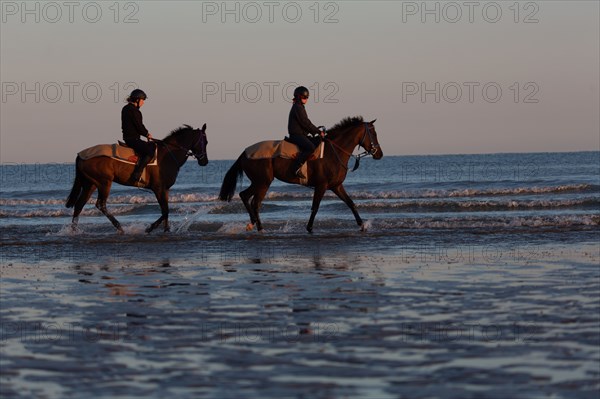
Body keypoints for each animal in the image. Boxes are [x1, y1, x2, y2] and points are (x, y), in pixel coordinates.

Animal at [66, 123, 209, 233]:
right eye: (206, 142)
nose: (205, 161)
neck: (168, 155)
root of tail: (82, 154)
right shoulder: (158, 189)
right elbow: (165, 211)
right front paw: (150, 228)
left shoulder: (165, 189)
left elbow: (166, 211)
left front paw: (166, 230)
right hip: (104, 183)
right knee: (100, 205)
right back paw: (119, 227)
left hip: (90, 184)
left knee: (79, 205)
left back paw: (74, 231)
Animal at [220, 117, 384, 233]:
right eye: (373, 133)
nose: (379, 154)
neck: (333, 152)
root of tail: (245, 153)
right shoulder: (321, 186)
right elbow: (315, 207)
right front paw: (309, 228)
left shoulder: (336, 186)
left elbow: (351, 203)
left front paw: (362, 225)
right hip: (263, 182)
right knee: (253, 201)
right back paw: (258, 227)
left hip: (260, 182)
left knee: (247, 197)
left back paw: (253, 224)